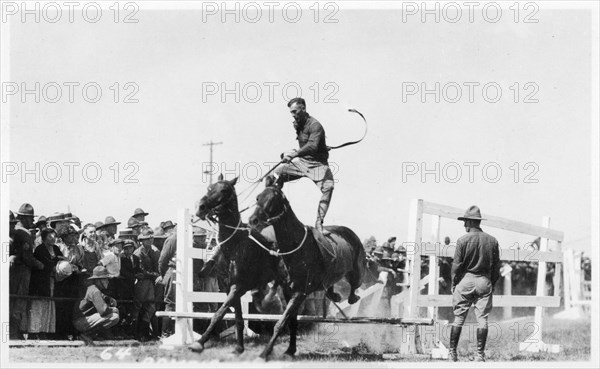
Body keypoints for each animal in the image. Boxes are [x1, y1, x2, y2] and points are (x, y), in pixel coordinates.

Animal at [189, 175, 290, 354]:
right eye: (209, 187)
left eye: (224, 190)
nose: (201, 207)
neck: (234, 246)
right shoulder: (228, 287)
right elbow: (238, 319)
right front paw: (239, 347)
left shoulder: (238, 287)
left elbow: (219, 313)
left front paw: (199, 342)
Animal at [248, 177, 366, 358]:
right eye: (258, 197)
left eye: (274, 199)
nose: (253, 220)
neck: (296, 247)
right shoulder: (288, 292)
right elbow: (291, 322)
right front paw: (290, 349)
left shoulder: (300, 292)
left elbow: (281, 323)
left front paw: (265, 352)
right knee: (330, 284)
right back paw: (333, 294)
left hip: (356, 270)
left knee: (355, 284)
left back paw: (352, 296)